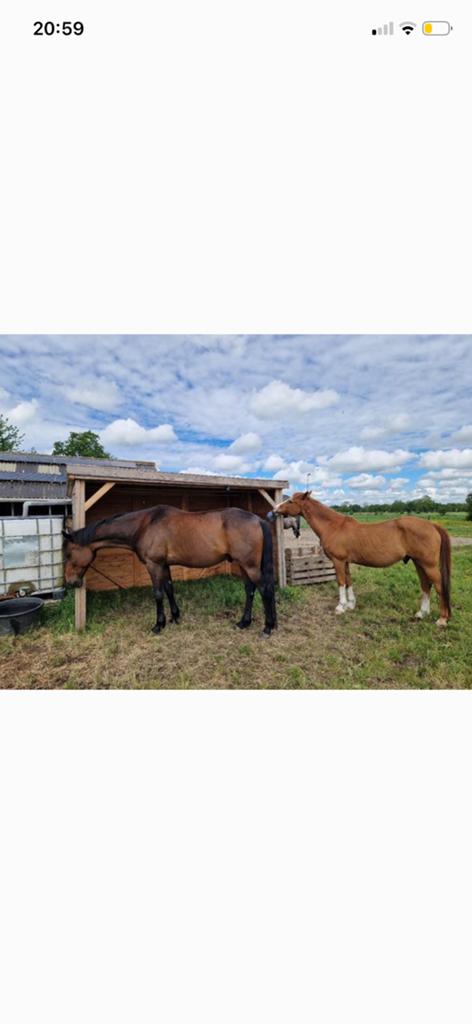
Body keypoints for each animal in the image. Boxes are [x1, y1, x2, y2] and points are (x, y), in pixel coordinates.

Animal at [63, 505, 277, 635]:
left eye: (68, 554)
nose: (70, 582)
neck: (144, 524)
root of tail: (257, 520)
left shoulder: (154, 564)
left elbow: (158, 594)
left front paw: (159, 624)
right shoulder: (164, 565)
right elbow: (169, 589)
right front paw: (175, 617)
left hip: (249, 565)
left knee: (265, 590)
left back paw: (268, 627)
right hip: (243, 565)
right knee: (250, 590)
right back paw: (244, 622)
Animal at [268, 491, 452, 626]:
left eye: (290, 501)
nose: (274, 510)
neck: (334, 526)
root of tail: (432, 525)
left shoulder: (338, 561)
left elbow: (341, 582)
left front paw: (340, 607)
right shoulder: (345, 562)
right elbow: (349, 581)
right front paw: (351, 604)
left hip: (428, 565)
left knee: (439, 586)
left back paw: (442, 619)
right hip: (418, 563)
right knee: (425, 585)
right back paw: (422, 613)